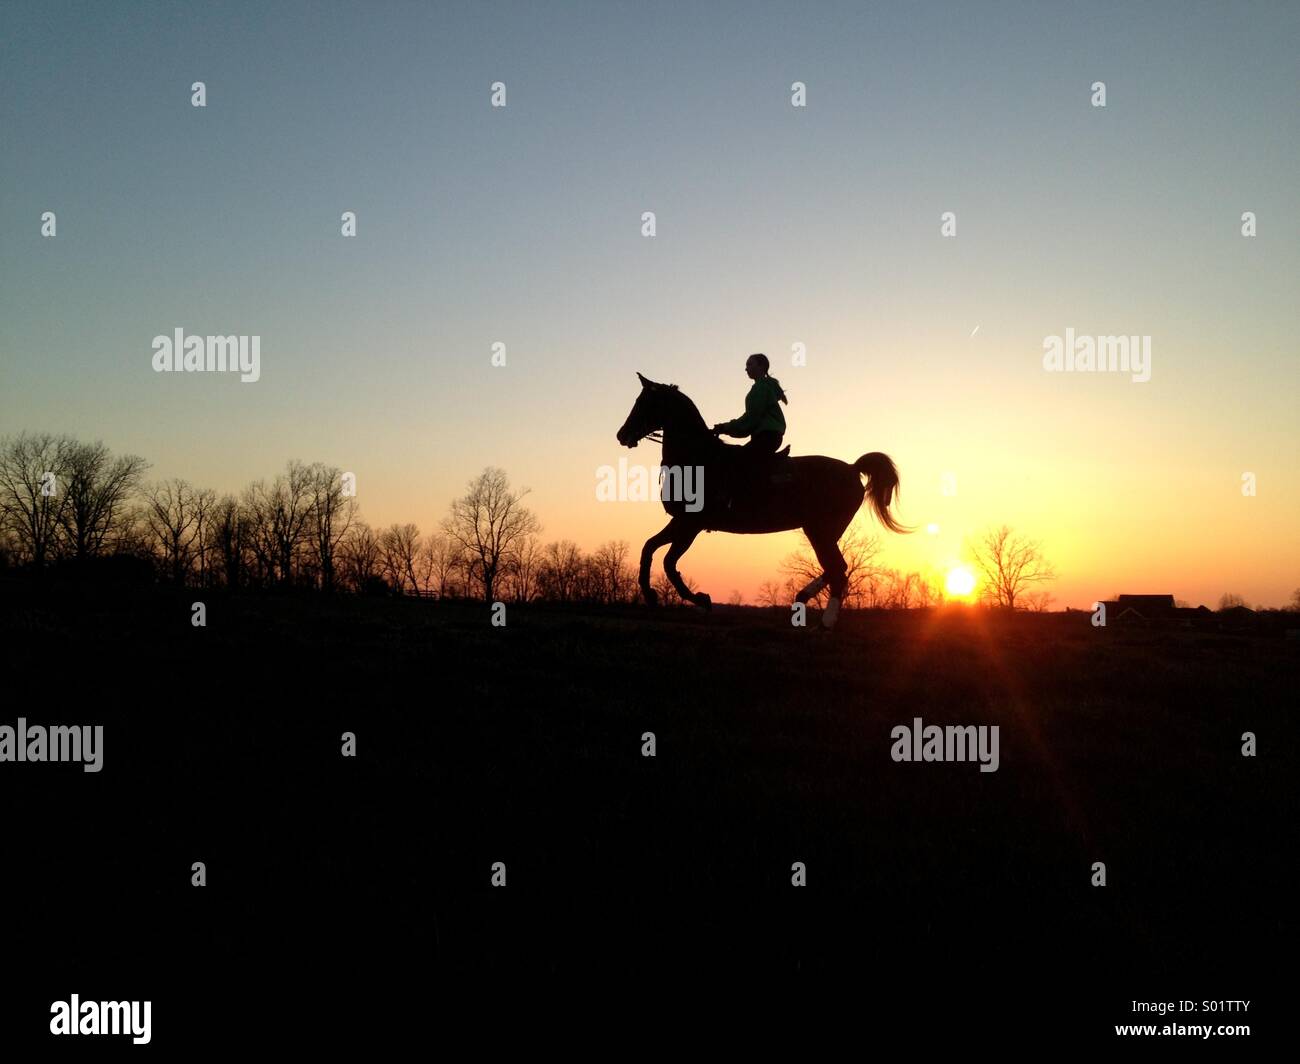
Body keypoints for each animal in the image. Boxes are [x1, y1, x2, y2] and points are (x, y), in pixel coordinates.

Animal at [616, 372, 904, 626]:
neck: (698, 458)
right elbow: (649, 548)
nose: (622, 435)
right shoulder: (680, 522)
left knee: (837, 570)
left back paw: (826, 621)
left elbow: (668, 562)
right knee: (837, 568)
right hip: (825, 531)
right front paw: (650, 594)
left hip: (820, 530)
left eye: (644, 402)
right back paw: (802, 599)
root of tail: (853, 468)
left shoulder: (691, 525)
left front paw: (700, 600)